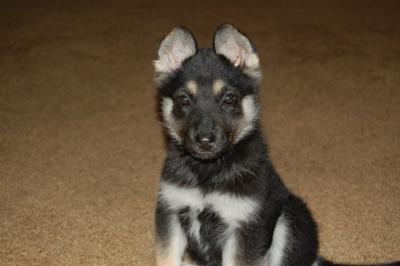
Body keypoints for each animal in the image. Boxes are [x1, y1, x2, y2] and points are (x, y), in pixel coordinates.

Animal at [152, 24, 396, 266]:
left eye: (229, 99)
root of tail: (314, 258)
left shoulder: (244, 225)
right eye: (183, 100)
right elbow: (167, 258)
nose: (204, 140)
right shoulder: (171, 212)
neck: (209, 170)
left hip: (290, 219)